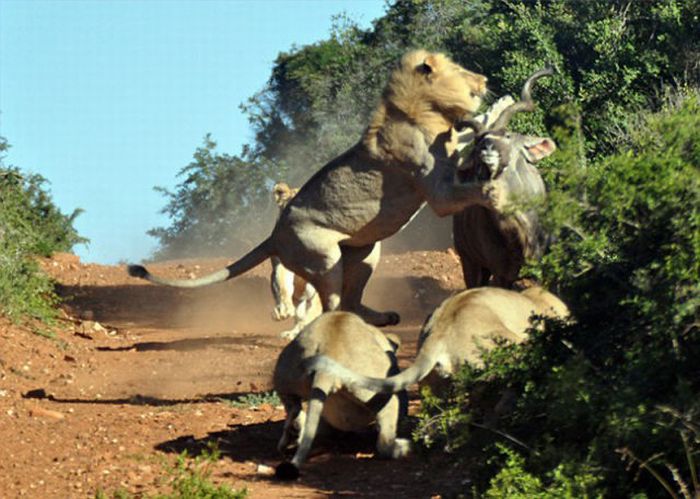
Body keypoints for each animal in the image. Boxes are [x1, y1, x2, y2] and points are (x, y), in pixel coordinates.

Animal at [126, 47, 498, 328]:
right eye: (461, 70)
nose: (485, 80)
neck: (421, 109)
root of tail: (274, 234)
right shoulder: (436, 191)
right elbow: (461, 190)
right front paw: (491, 188)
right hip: (323, 256)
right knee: (331, 305)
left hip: (366, 250)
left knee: (351, 299)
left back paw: (379, 318)